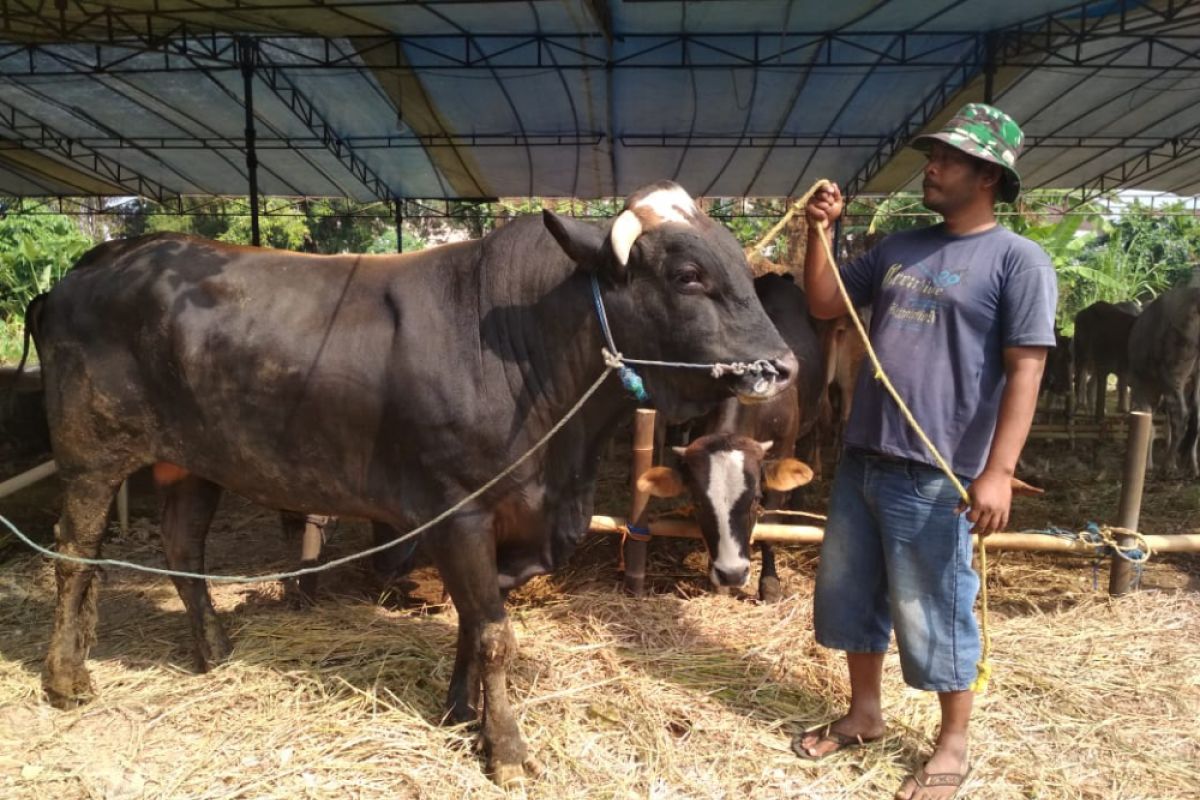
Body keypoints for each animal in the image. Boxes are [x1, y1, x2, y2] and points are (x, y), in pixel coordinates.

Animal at [25, 179, 796, 782]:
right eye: (687, 274)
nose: (782, 365)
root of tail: (89, 266)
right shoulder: (457, 511)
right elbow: (494, 634)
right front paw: (506, 749)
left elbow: (475, 622)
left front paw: (461, 712)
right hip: (91, 453)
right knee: (74, 555)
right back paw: (67, 678)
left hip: (189, 457)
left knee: (184, 550)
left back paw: (213, 651)